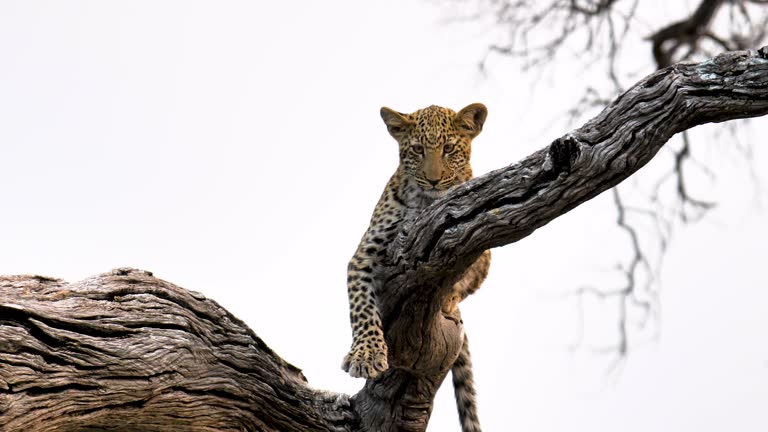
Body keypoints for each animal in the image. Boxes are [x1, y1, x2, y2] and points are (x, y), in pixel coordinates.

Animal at [342, 103, 492, 430]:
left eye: (449, 149)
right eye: (418, 150)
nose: (434, 180)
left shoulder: (480, 243)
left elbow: (463, 278)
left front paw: (448, 299)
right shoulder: (364, 254)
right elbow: (362, 307)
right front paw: (366, 355)